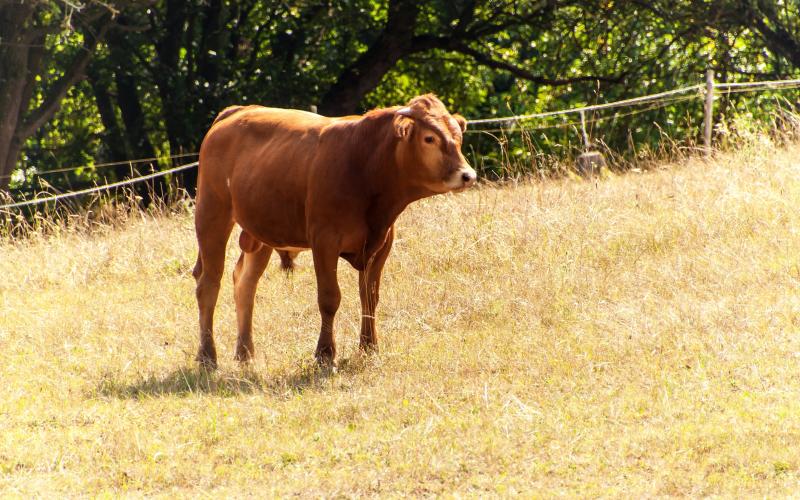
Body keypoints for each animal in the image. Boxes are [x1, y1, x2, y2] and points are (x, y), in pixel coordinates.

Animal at [192, 94, 477, 369]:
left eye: (458, 137)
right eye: (429, 138)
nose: (468, 175)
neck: (365, 165)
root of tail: (236, 111)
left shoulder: (381, 245)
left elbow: (369, 297)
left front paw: (369, 347)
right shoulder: (324, 241)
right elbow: (329, 298)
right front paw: (325, 353)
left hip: (261, 233)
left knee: (245, 284)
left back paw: (245, 352)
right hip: (212, 214)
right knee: (209, 284)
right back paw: (207, 355)